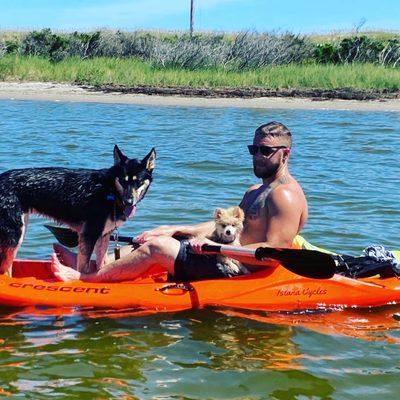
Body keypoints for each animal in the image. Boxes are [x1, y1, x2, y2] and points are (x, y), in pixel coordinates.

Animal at [0, 145, 156, 276]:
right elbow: (83, 270)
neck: (109, 190)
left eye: (138, 182)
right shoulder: (89, 235)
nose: (128, 202)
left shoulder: (103, 236)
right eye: (123, 181)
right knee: (5, 270)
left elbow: (102, 265)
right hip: (15, 235)